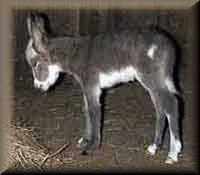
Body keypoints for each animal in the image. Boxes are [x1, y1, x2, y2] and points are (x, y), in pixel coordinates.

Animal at [24, 13, 181, 164]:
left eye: (35, 64)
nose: (37, 87)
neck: (74, 54)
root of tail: (169, 45)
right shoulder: (86, 87)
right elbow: (86, 110)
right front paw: (85, 140)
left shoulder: (91, 85)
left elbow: (94, 111)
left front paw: (92, 146)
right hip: (154, 82)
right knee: (160, 108)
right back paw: (154, 147)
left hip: (151, 78)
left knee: (171, 104)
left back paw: (173, 154)